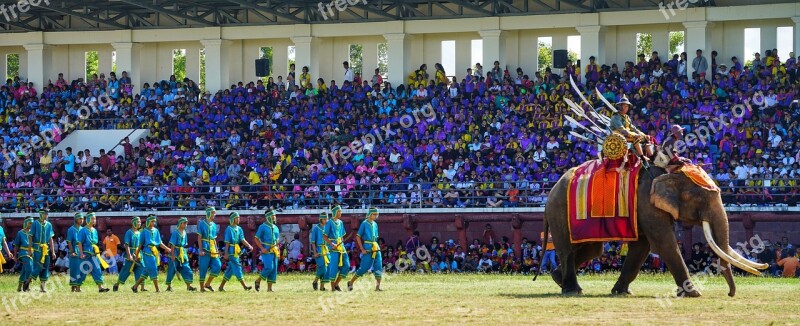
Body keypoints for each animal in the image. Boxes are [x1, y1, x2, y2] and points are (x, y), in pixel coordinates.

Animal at [536, 167, 768, 296]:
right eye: (701, 198)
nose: (730, 295)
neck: (669, 171)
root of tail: (549, 194)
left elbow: (642, 247)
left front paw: (622, 292)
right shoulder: (647, 203)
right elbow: (664, 243)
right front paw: (694, 294)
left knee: (593, 250)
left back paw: (558, 278)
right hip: (560, 212)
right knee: (568, 250)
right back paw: (571, 289)